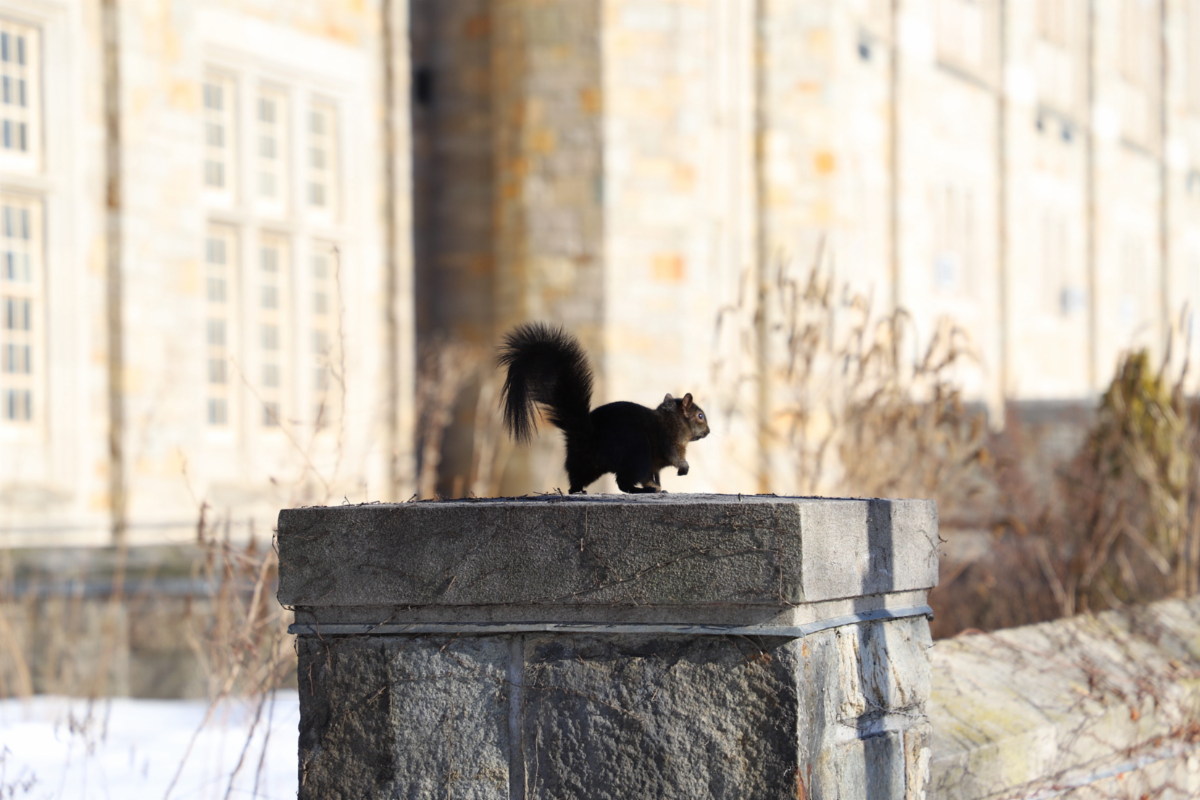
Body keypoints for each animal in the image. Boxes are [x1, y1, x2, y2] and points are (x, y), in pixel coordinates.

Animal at [497, 322, 710, 494]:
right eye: (700, 415)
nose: (708, 431)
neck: (675, 419)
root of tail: (586, 434)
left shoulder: (654, 466)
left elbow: (654, 476)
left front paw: (658, 487)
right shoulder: (670, 439)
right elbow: (673, 457)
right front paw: (681, 468)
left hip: (585, 462)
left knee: (577, 479)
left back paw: (579, 490)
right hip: (637, 450)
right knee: (623, 483)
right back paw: (640, 491)